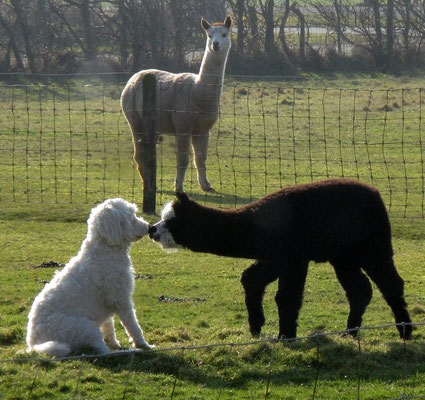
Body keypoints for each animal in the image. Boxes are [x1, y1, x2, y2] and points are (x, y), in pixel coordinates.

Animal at [26, 198, 154, 358]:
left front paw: (114, 342)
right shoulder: (121, 300)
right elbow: (133, 326)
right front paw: (143, 344)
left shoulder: (109, 303)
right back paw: (130, 351)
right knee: (103, 352)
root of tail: (34, 343)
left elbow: (109, 326)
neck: (105, 249)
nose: (149, 227)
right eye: (130, 217)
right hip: (85, 328)